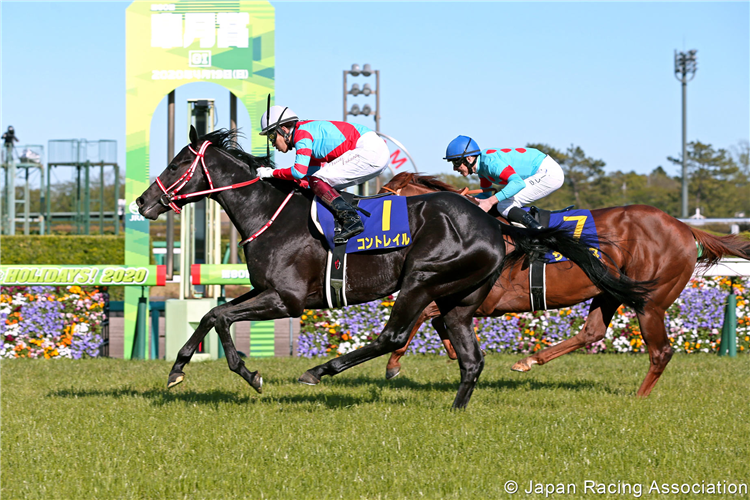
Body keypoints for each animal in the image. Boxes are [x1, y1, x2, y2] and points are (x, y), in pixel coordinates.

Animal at [138, 127, 656, 408]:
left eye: (178, 162)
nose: (143, 202)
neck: (270, 212)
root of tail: (492, 224)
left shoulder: (286, 299)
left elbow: (221, 317)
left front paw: (248, 373)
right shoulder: (263, 291)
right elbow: (211, 315)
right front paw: (178, 370)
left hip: (422, 279)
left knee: (392, 335)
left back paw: (321, 372)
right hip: (459, 299)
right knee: (471, 358)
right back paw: (454, 412)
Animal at [382, 174, 750, 396]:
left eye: (384, 198)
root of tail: (686, 228)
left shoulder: (489, 299)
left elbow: (424, 313)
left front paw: (394, 362)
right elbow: (432, 317)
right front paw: (447, 350)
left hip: (651, 302)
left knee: (661, 352)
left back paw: (638, 397)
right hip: (609, 290)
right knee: (593, 333)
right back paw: (529, 360)